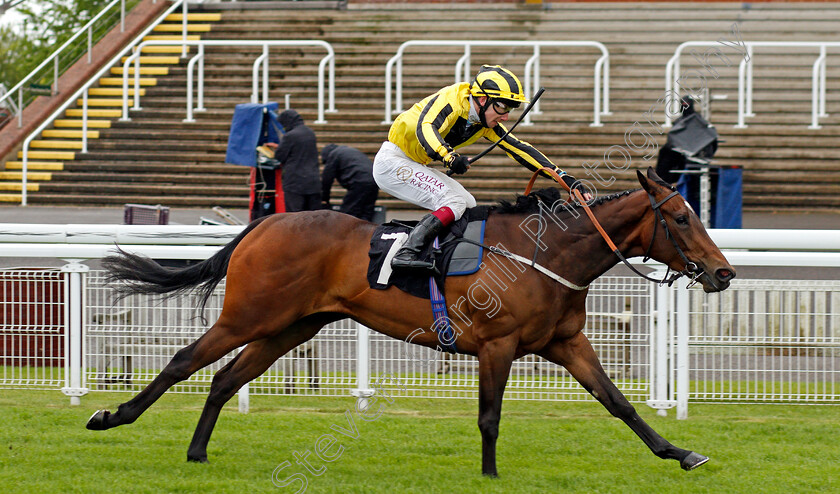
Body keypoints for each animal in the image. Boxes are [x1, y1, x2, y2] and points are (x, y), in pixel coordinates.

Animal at [88, 169, 736, 474]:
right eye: (681, 217)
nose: (723, 272)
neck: (547, 252)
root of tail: (267, 221)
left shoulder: (565, 342)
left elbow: (619, 403)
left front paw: (681, 453)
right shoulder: (497, 345)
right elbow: (490, 417)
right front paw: (490, 474)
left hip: (291, 327)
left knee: (224, 379)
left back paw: (197, 452)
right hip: (249, 314)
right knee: (184, 362)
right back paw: (110, 416)